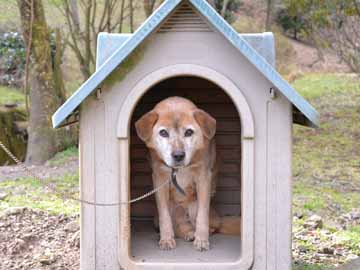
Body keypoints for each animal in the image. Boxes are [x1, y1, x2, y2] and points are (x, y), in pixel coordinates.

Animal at [135, 97, 239, 251]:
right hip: (166, 214)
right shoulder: (160, 179)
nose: (178, 155)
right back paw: (187, 233)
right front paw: (166, 239)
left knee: (211, 226)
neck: (179, 169)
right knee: (179, 226)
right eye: (163, 133)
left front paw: (201, 240)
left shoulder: (203, 178)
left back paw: (197, 233)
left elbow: (203, 214)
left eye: (189, 132)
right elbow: (164, 216)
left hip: (195, 206)